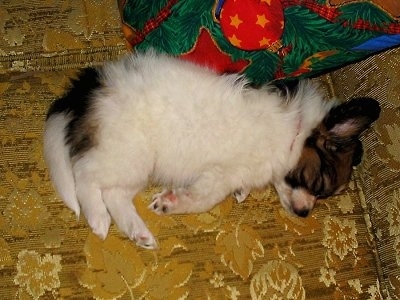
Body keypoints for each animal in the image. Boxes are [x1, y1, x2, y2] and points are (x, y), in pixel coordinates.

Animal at [43, 51, 382, 248]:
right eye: (319, 184)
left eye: (322, 196)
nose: (304, 213)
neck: (293, 133)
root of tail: (89, 85)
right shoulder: (223, 173)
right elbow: (205, 198)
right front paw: (172, 202)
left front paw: (242, 193)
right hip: (128, 151)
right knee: (85, 178)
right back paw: (98, 219)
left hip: (135, 163)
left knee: (114, 192)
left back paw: (138, 232)